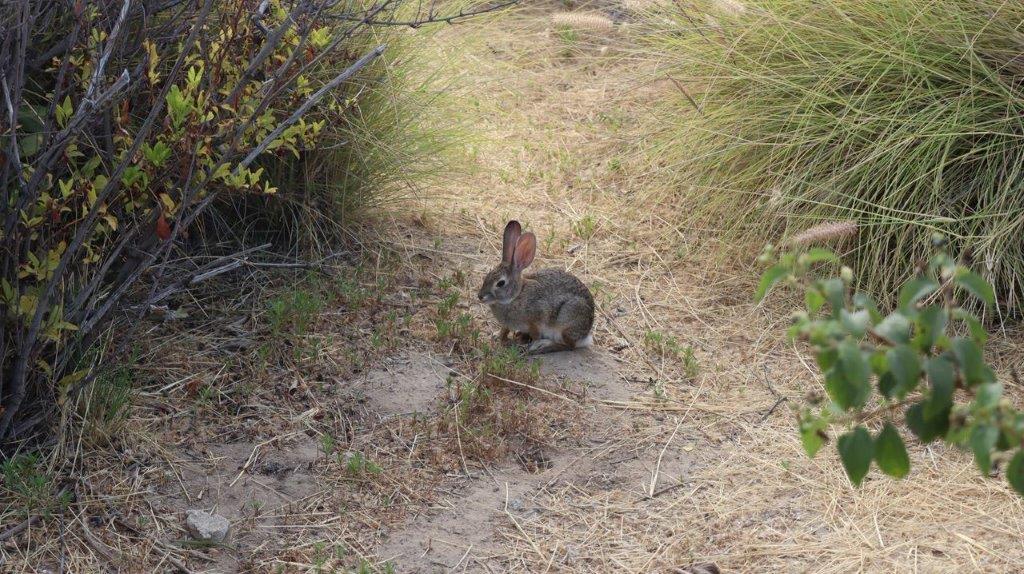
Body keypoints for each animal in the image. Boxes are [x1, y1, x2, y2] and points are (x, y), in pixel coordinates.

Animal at [477, 219, 598, 351]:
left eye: (501, 283)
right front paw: (498, 337)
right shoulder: (507, 324)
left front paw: (531, 345)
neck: (516, 296)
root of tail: (585, 335)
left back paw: (544, 345)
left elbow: (535, 334)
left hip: (567, 320)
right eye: (487, 276)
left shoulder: (536, 321)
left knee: (568, 345)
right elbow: (504, 331)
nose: (480, 296)